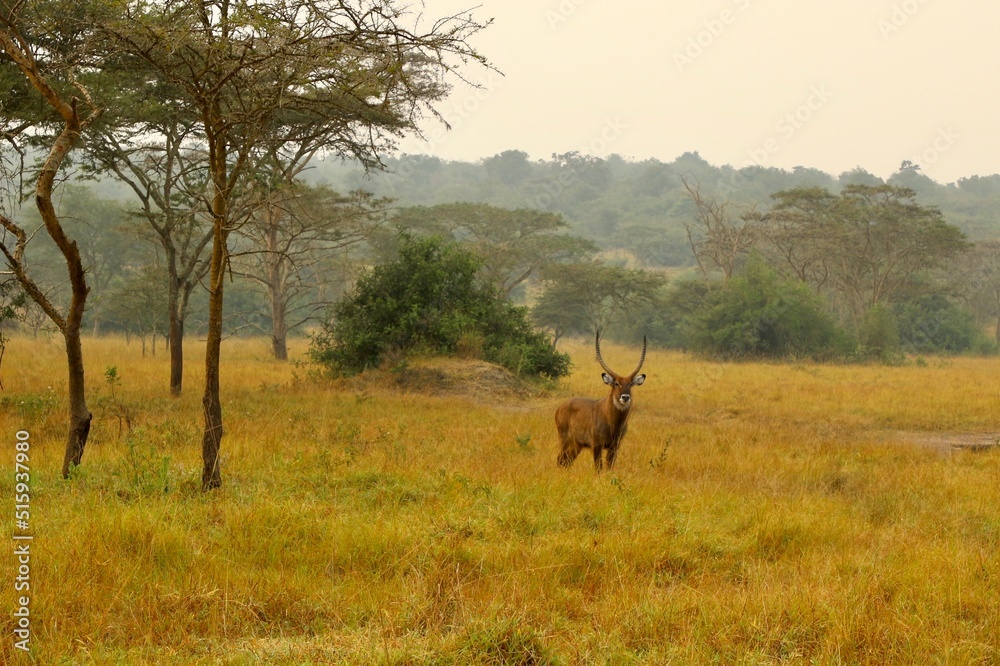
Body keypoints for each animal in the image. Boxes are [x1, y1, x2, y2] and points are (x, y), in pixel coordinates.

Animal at [556, 333, 647, 471]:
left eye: (630, 384)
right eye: (616, 383)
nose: (625, 397)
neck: (612, 421)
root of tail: (560, 407)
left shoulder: (614, 446)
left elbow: (610, 467)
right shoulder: (597, 445)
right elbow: (598, 468)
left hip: (577, 444)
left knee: (567, 461)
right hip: (565, 439)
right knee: (560, 459)